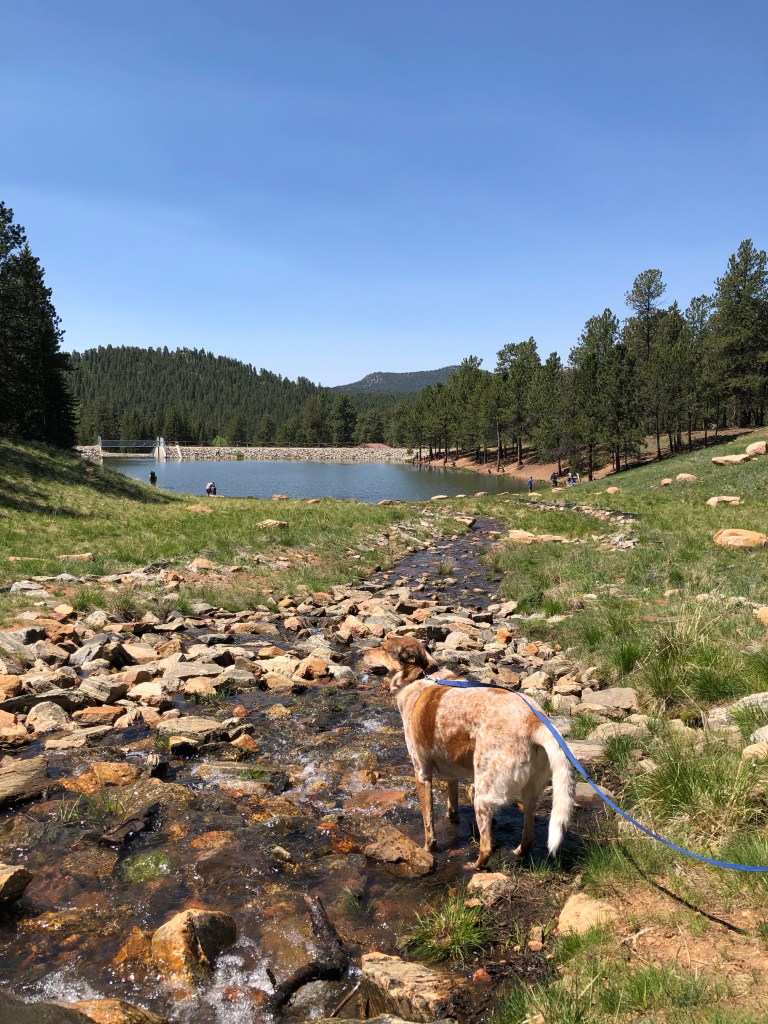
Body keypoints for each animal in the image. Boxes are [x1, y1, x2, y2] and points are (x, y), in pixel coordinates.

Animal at [363, 635, 574, 869]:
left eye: (383, 648)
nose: (362, 653)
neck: (419, 677)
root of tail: (534, 722)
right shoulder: (451, 773)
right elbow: (452, 805)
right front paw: (452, 819)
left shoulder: (422, 773)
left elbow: (428, 822)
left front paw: (427, 850)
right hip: (531, 791)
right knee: (528, 833)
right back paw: (519, 852)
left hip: (482, 791)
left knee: (486, 845)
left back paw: (475, 866)